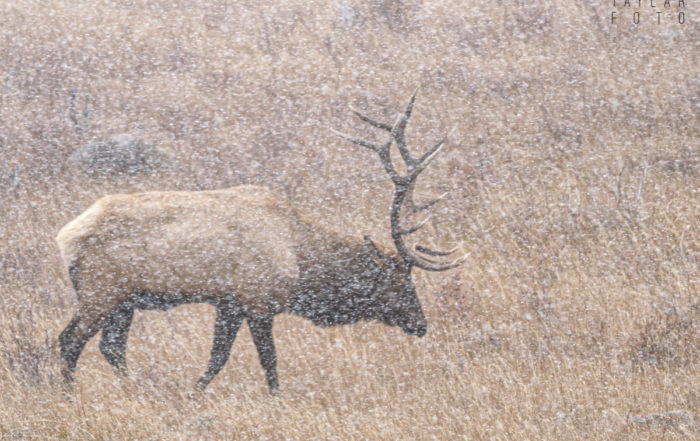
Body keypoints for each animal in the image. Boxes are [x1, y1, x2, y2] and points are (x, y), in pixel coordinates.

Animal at [57, 89, 462, 392]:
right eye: (400, 281)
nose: (421, 324)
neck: (300, 258)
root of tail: (66, 237)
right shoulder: (259, 301)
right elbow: (268, 360)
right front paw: (274, 397)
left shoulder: (229, 303)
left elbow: (217, 357)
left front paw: (192, 393)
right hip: (101, 293)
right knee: (70, 341)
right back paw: (70, 396)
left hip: (122, 302)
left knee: (111, 347)